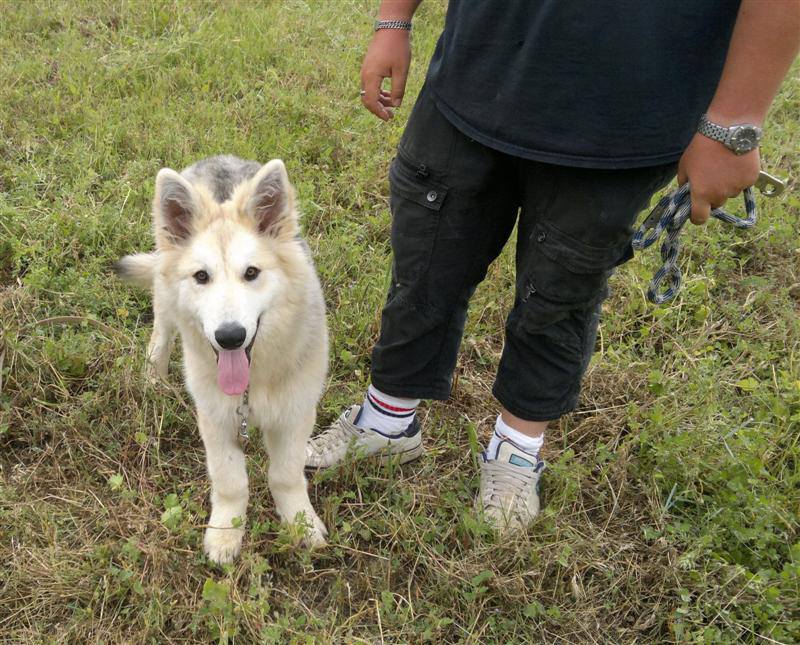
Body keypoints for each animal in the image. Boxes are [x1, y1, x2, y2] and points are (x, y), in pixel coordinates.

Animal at [114, 156, 326, 564]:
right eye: (201, 276)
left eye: (252, 273)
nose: (230, 337)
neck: (253, 383)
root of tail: (218, 159)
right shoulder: (215, 420)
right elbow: (230, 481)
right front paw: (226, 533)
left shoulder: (295, 416)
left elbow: (286, 474)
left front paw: (300, 524)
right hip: (165, 301)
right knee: (160, 334)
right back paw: (153, 379)